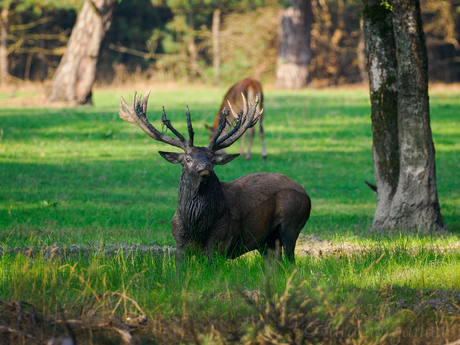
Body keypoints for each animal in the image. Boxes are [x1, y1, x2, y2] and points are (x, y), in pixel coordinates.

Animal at [118, 90, 310, 262]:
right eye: (187, 158)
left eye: (212, 158)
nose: (205, 167)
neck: (195, 226)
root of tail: (307, 195)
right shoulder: (179, 244)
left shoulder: (220, 241)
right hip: (267, 240)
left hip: (292, 224)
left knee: (290, 260)